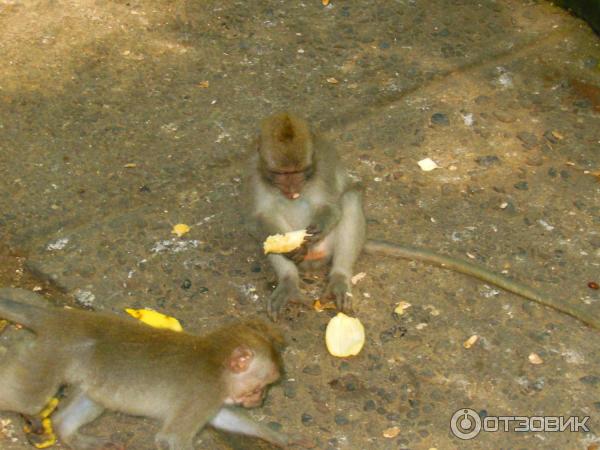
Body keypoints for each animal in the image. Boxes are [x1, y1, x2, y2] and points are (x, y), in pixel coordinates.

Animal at [0, 288, 302, 450]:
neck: (216, 362)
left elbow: (222, 418)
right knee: (29, 398)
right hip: (50, 355)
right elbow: (172, 438)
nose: (261, 399)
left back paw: (68, 432)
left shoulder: (211, 399)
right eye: (260, 387)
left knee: (92, 400)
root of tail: (59, 317)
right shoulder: (205, 393)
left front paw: (276, 436)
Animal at [246, 112, 596, 330]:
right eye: (281, 174)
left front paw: (315, 232)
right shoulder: (255, 175)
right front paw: (290, 246)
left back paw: (340, 276)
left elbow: (332, 205)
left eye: (299, 172)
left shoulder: (323, 171)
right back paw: (289, 282)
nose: (291, 188)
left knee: (351, 198)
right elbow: (262, 218)